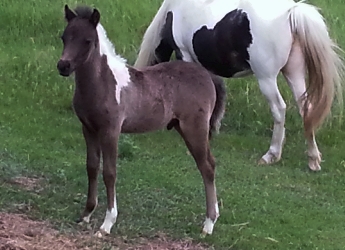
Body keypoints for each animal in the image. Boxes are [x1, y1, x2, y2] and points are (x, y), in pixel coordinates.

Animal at [56, 5, 226, 236]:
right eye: (64, 37)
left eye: (87, 41)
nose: (63, 66)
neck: (103, 82)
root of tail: (208, 75)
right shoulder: (88, 128)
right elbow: (91, 167)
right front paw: (86, 214)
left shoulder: (111, 131)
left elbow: (110, 172)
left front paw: (107, 224)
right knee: (209, 164)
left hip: (195, 129)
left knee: (207, 167)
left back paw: (208, 224)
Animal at [134, 0, 342, 171]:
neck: (171, 12)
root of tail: (291, 12)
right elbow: (217, 92)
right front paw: (212, 127)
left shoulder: (185, 56)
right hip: (294, 73)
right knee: (306, 108)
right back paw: (313, 159)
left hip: (266, 78)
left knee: (279, 109)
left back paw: (271, 155)